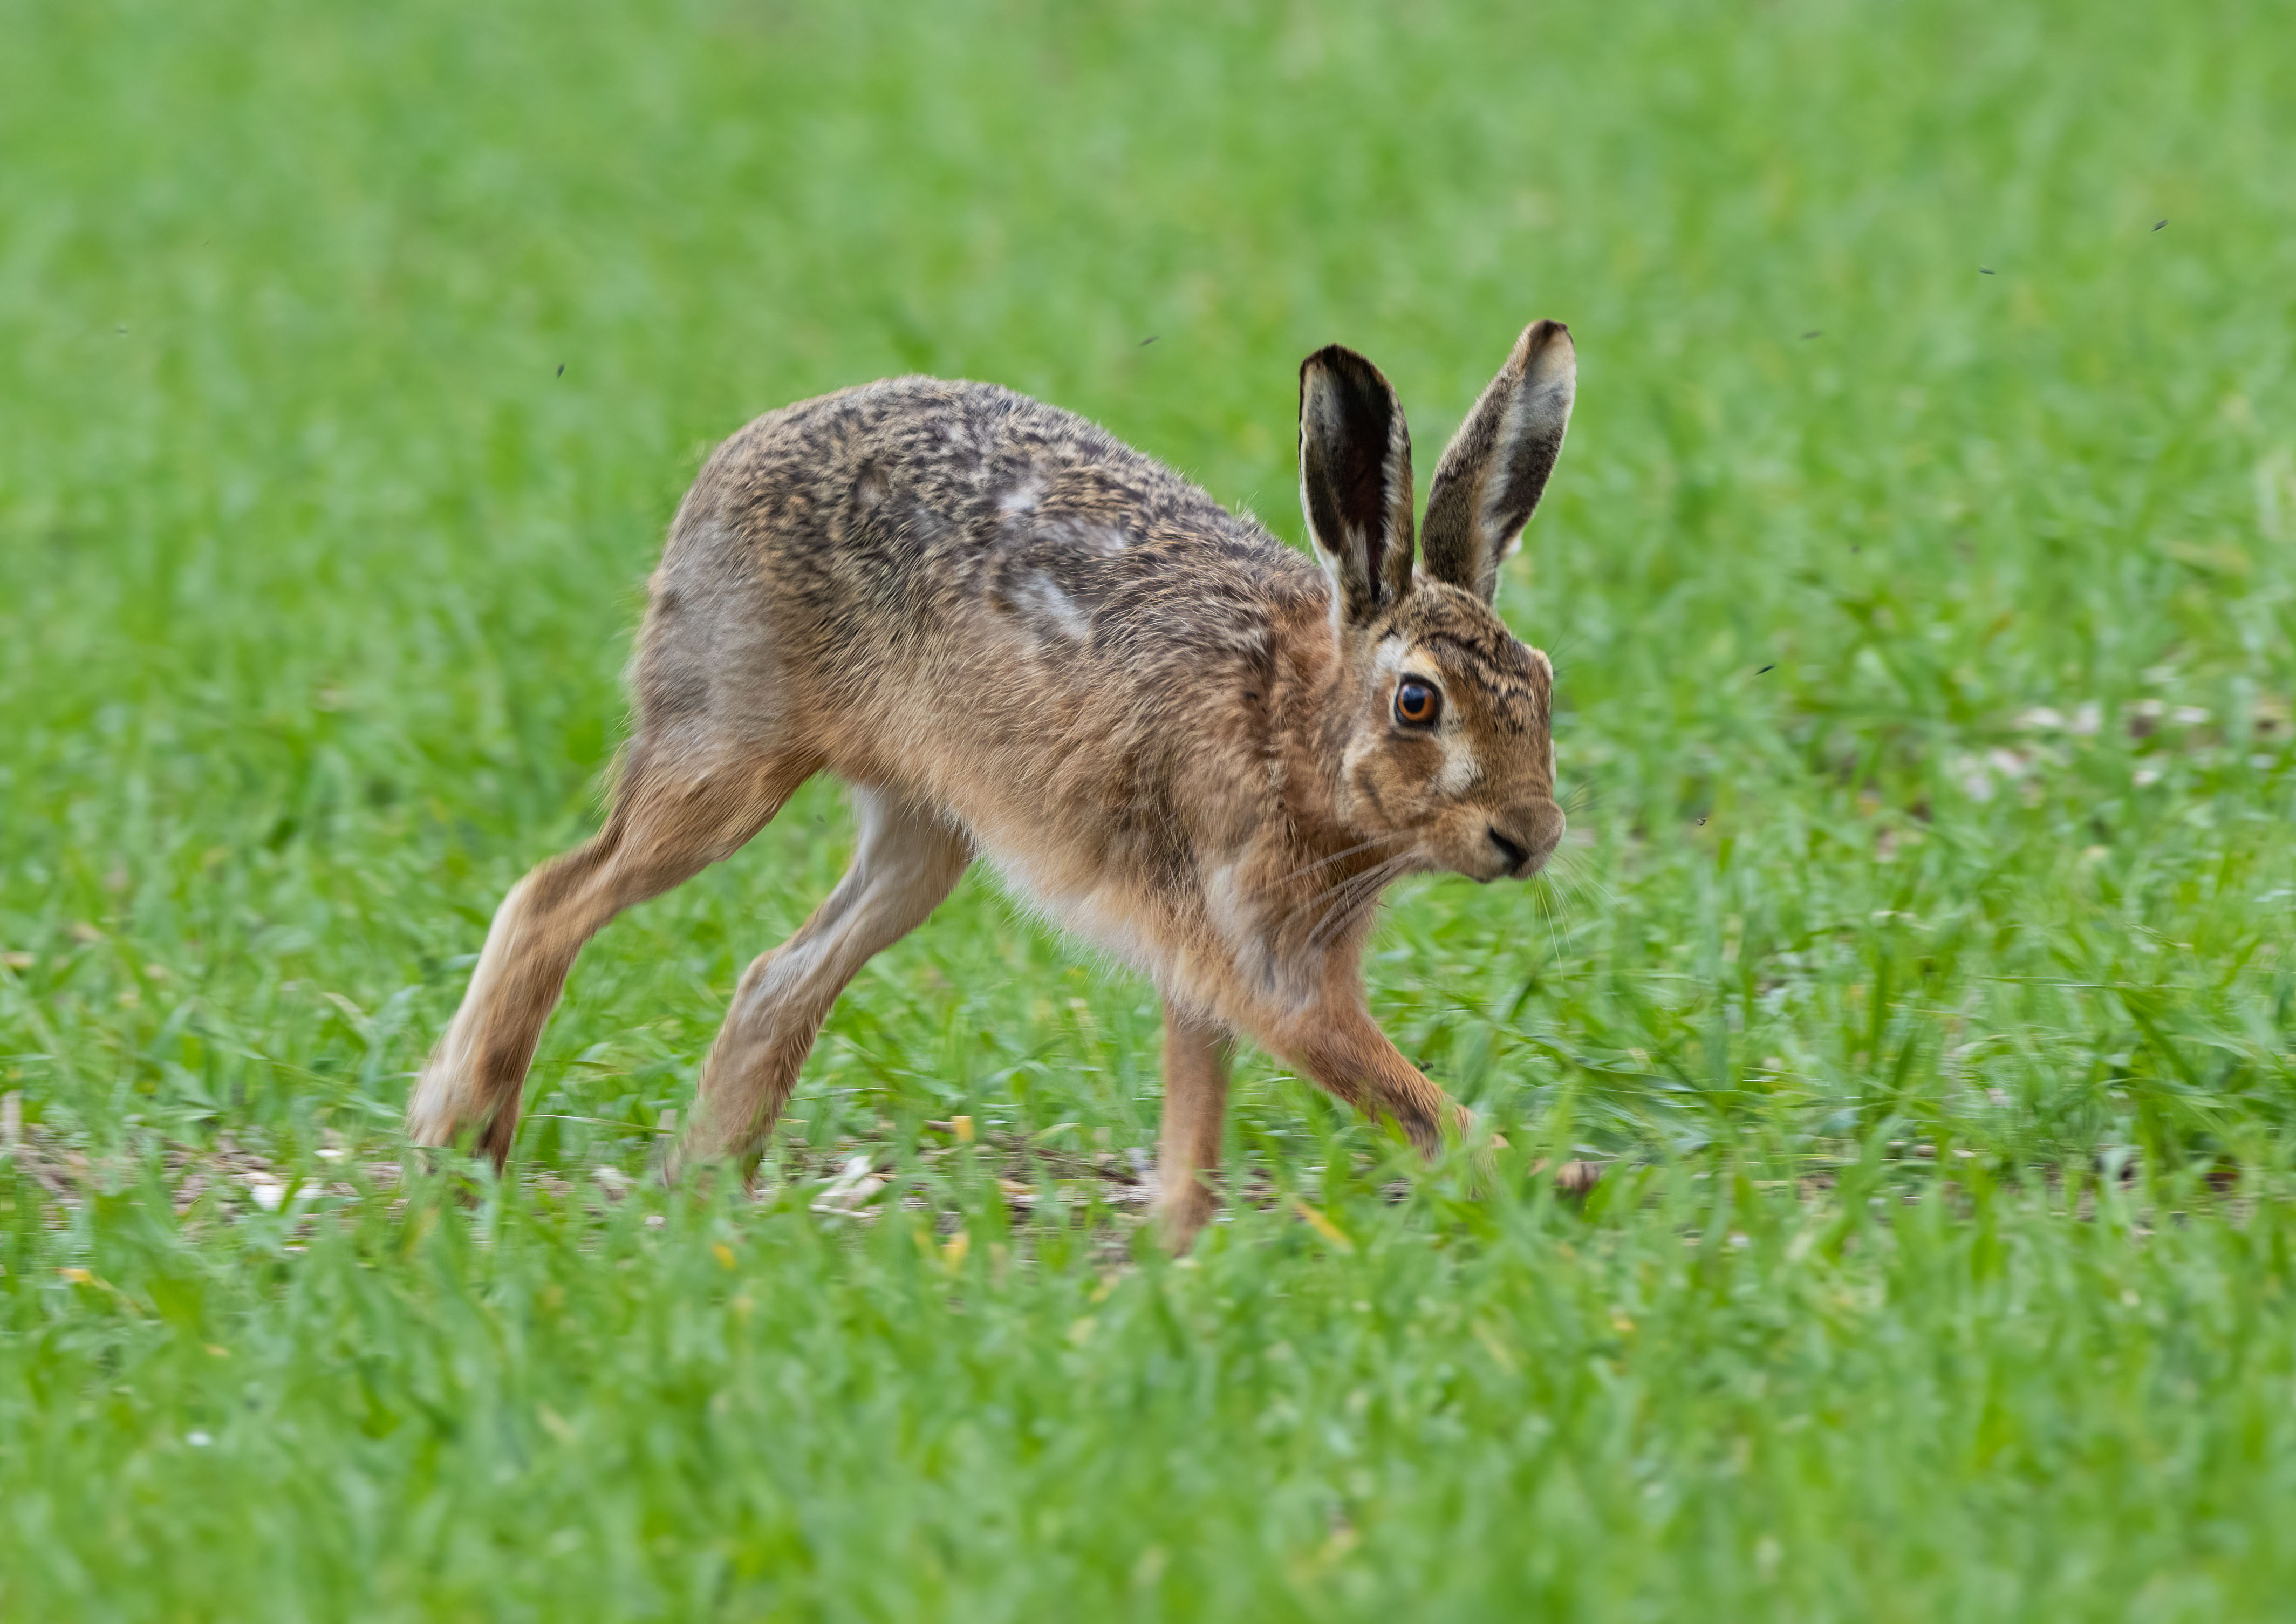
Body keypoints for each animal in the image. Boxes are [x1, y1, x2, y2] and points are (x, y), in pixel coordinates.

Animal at [406, 320, 1577, 1249]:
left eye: (1542, 682)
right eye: (1417, 702)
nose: (1531, 836)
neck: (1297, 725)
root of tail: (732, 458)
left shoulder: (1206, 953)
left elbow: (1196, 1101)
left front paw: (1175, 1245)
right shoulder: (1270, 964)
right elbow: (1401, 1100)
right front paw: (1539, 1181)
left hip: (925, 837)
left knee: (779, 978)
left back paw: (706, 1192)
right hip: (724, 757)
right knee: (554, 896)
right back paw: (461, 1139)